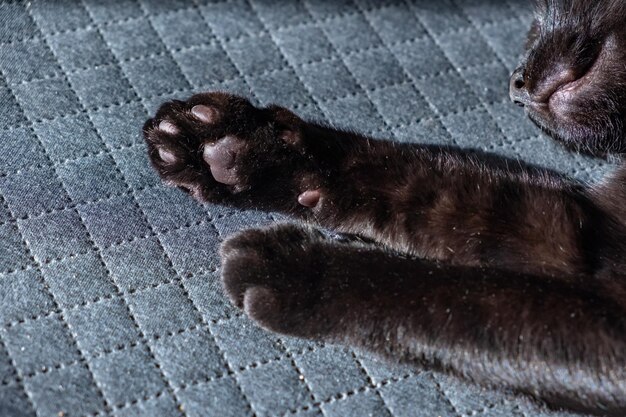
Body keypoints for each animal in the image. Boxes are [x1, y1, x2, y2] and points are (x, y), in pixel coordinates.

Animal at [144, 0, 624, 414]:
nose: (516, 83)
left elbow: (460, 296)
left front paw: (300, 269)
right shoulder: (564, 233)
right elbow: (427, 181)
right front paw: (238, 149)